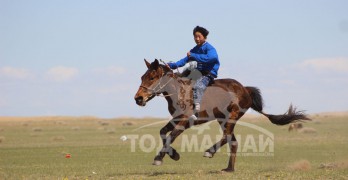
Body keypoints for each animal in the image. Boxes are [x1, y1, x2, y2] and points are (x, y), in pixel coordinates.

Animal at [133, 58, 310, 172]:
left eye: (152, 77)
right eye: (142, 77)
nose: (138, 98)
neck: (179, 91)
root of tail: (245, 89)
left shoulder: (185, 121)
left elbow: (172, 135)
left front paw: (159, 158)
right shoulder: (176, 118)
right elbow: (163, 132)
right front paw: (173, 155)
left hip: (231, 117)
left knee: (227, 137)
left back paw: (210, 152)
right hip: (223, 119)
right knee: (233, 141)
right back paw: (229, 169)